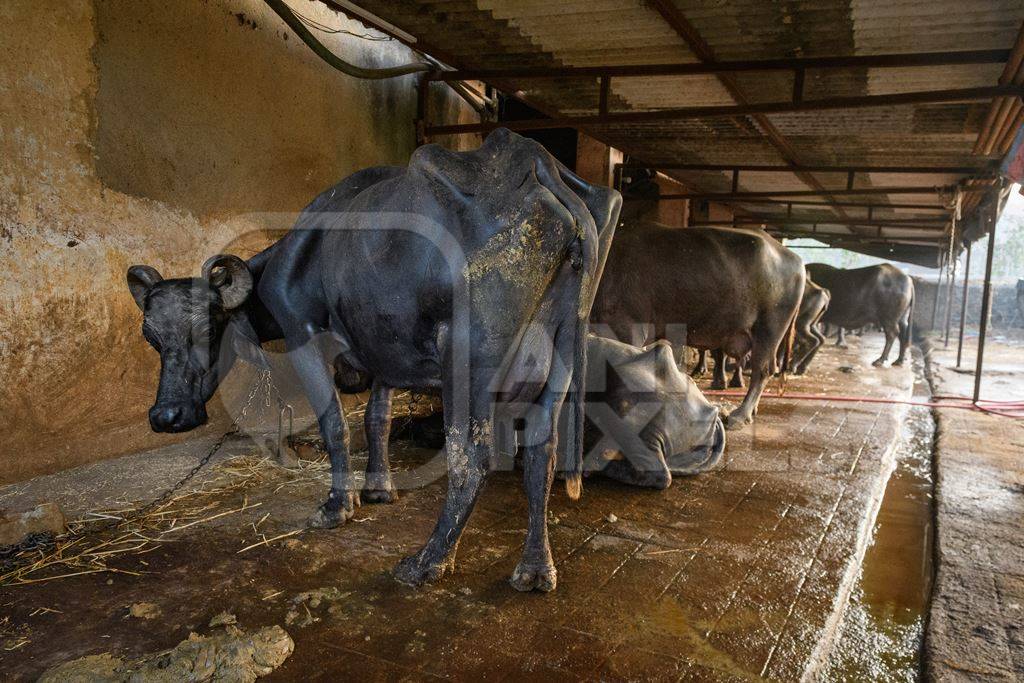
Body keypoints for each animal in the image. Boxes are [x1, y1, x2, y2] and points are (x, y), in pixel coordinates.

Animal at [128, 129, 622, 593]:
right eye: (151, 337)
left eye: (208, 329)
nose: (166, 416)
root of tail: (537, 164)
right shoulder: (385, 343)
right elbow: (377, 419)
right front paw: (378, 488)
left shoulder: (303, 333)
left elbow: (335, 423)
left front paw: (337, 505)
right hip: (559, 365)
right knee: (543, 455)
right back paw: (535, 567)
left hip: (468, 365)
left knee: (472, 458)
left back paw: (427, 562)